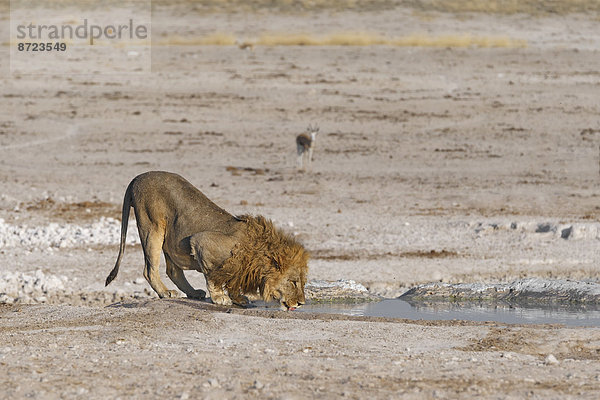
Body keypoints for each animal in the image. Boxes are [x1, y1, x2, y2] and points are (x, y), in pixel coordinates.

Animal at [104, 170, 310, 310]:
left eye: (302, 282)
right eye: (293, 282)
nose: (301, 303)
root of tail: (137, 177)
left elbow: (232, 279)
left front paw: (238, 298)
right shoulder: (202, 241)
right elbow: (213, 276)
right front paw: (220, 297)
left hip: (170, 236)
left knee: (173, 270)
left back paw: (193, 293)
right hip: (152, 227)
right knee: (149, 269)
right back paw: (165, 292)